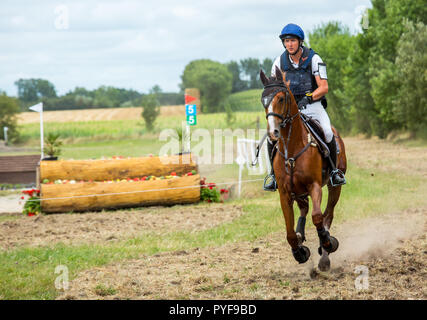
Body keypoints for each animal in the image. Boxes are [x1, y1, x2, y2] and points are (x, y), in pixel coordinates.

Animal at [260, 66, 348, 272]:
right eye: (263, 101)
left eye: (281, 98)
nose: (273, 133)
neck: (292, 149)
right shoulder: (285, 193)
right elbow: (289, 231)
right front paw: (299, 251)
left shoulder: (314, 186)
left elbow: (318, 217)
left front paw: (327, 242)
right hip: (298, 192)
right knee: (304, 210)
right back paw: (302, 236)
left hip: (334, 186)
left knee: (328, 213)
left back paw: (324, 256)